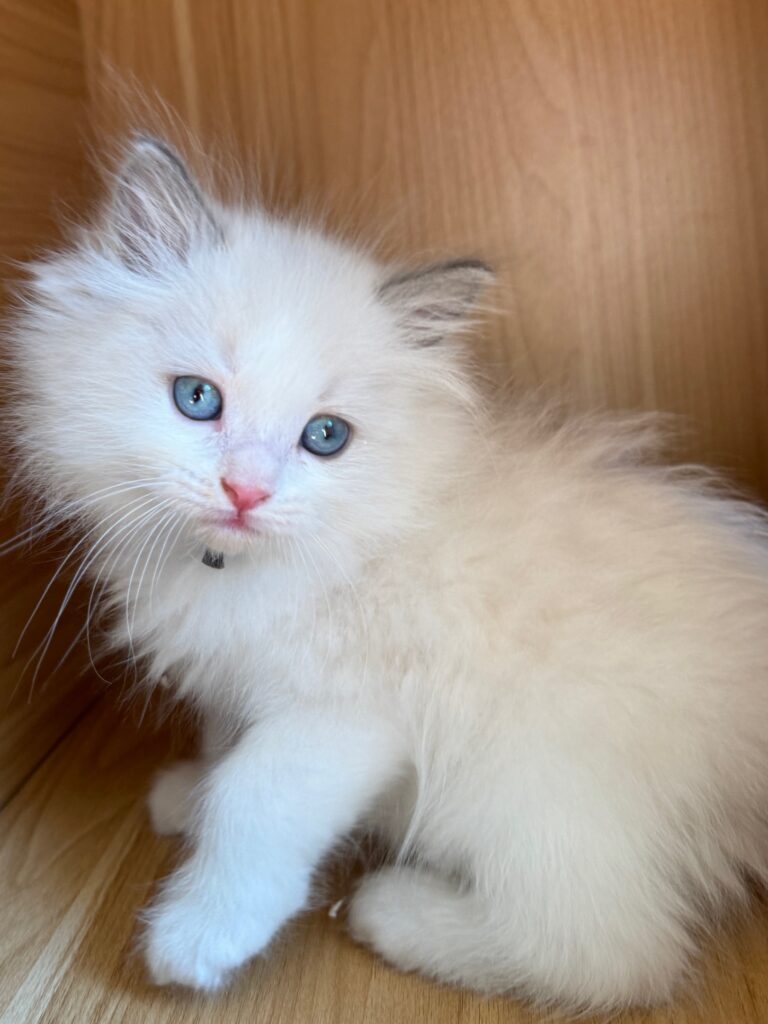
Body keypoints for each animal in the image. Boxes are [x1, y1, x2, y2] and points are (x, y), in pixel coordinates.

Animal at [9, 136, 768, 1015]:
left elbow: (253, 796)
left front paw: (199, 934)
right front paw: (187, 796)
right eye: (197, 398)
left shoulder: (343, 714)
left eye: (325, 437)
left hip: (524, 787)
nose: (246, 491)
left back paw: (393, 914)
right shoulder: (241, 683)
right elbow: (226, 749)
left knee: (609, 953)